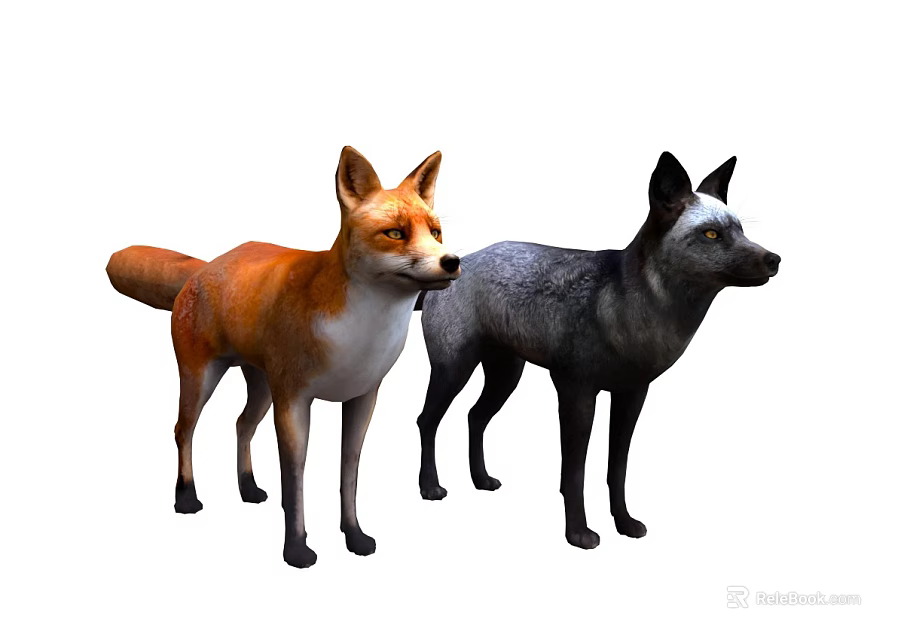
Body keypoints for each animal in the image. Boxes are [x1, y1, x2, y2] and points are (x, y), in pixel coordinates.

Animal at [107, 146, 461, 569]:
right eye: (395, 233)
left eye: (435, 233)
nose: (452, 261)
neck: (359, 334)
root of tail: (209, 265)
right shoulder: (293, 401)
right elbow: (295, 479)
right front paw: (297, 549)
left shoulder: (363, 398)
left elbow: (349, 474)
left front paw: (354, 537)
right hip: (202, 379)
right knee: (183, 431)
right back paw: (186, 498)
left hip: (261, 388)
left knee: (241, 425)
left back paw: (248, 488)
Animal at [413, 152, 780, 550]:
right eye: (711, 234)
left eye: (741, 230)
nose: (774, 259)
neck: (628, 305)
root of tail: (455, 266)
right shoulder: (575, 391)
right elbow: (574, 473)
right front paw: (578, 533)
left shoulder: (632, 394)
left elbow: (616, 469)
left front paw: (625, 523)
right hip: (453, 369)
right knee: (427, 421)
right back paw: (429, 487)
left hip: (506, 374)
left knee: (474, 417)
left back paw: (481, 480)